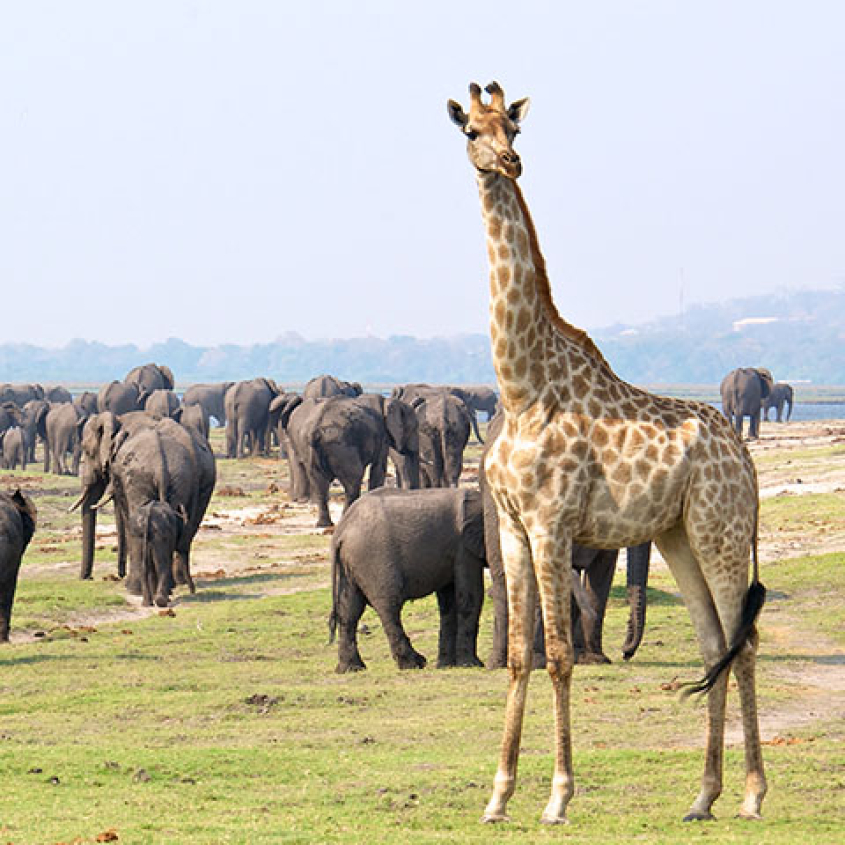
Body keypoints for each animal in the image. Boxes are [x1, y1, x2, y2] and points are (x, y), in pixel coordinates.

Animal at [74, 412, 216, 601]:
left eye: (86, 450)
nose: (87, 578)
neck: (118, 419)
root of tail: (161, 465)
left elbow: (126, 516)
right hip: (187, 480)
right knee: (186, 529)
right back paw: (175, 584)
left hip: (139, 477)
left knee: (137, 524)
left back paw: (136, 589)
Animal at [329, 487, 486, 672]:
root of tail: (341, 531)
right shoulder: (464, 549)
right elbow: (471, 596)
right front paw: (472, 665)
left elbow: (449, 601)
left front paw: (446, 665)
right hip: (373, 559)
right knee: (389, 606)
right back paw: (414, 663)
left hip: (349, 565)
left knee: (349, 610)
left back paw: (352, 668)